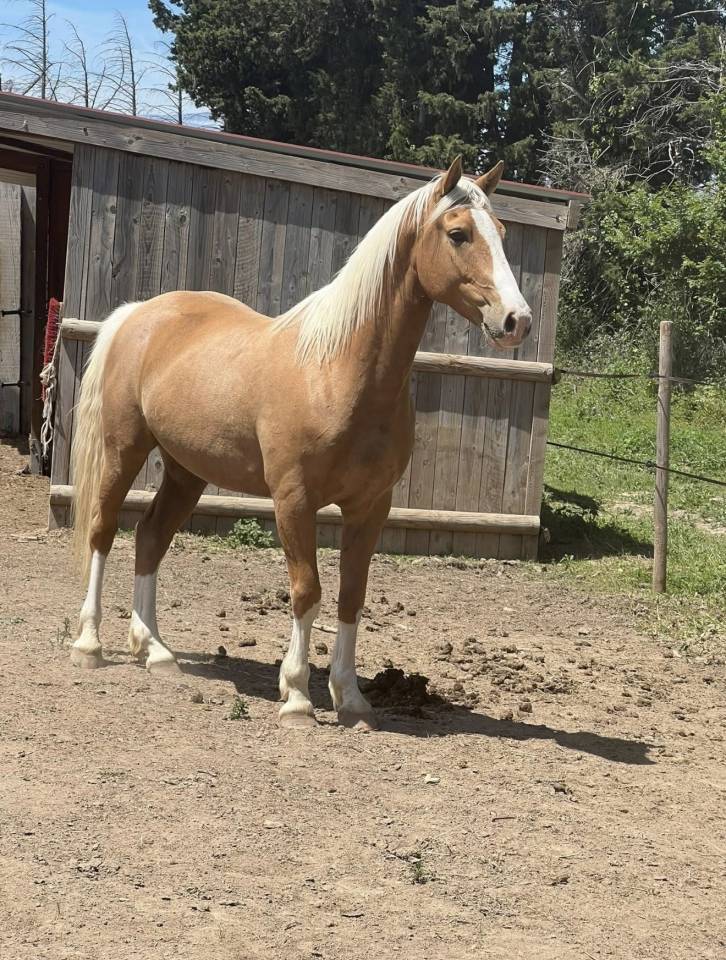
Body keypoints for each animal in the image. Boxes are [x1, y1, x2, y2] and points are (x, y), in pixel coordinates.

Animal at [68, 156, 532, 730]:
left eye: (503, 234)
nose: (516, 320)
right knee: (102, 530)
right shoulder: (294, 500)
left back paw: (155, 650)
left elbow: (351, 595)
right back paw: (89, 644)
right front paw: (297, 696)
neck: (336, 371)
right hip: (124, 449)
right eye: (458, 233)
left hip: (186, 471)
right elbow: (307, 591)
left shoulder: (371, 507)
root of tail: (138, 313)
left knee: (151, 537)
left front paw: (351, 698)